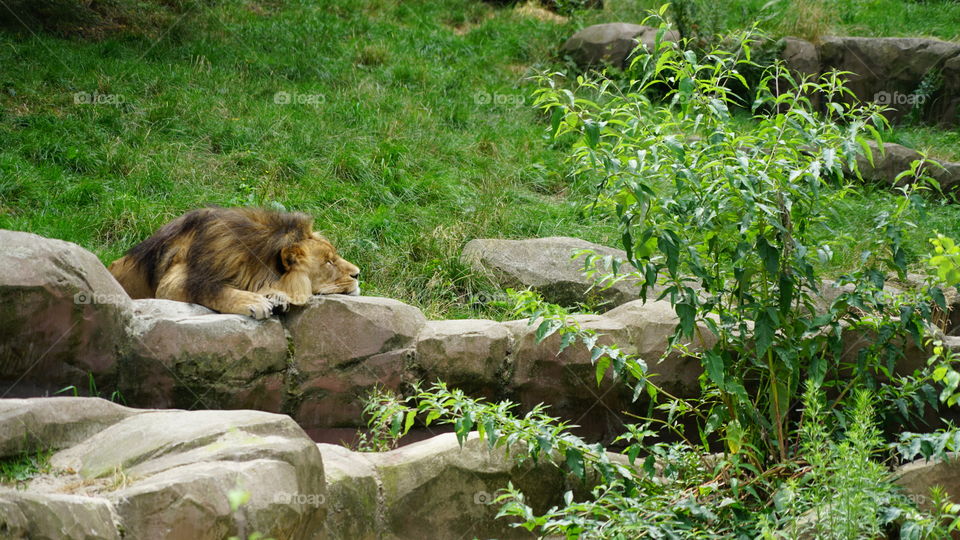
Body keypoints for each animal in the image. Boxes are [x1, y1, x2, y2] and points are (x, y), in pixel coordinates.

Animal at [108, 207, 360, 319]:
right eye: (328, 262)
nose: (358, 274)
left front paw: (277, 297)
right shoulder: (174, 284)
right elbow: (213, 290)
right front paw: (254, 301)